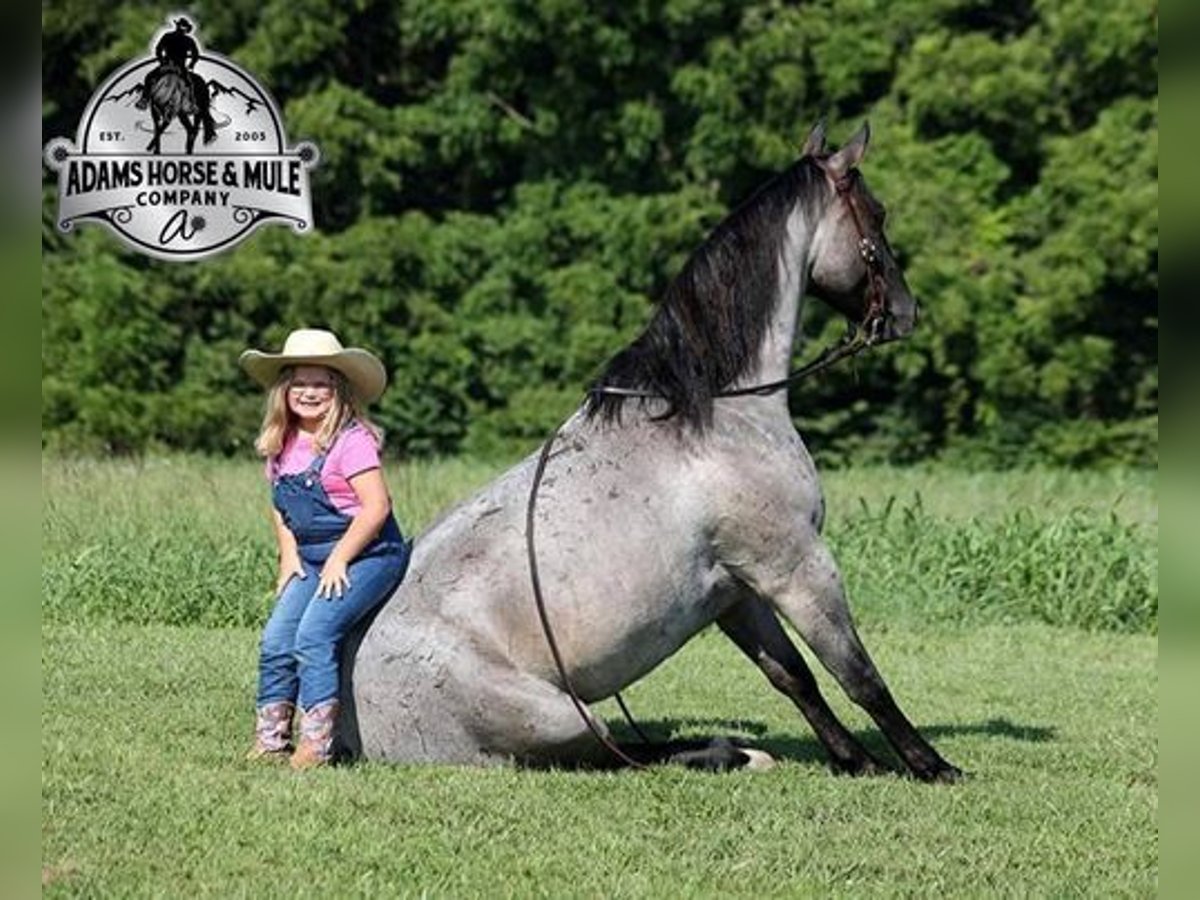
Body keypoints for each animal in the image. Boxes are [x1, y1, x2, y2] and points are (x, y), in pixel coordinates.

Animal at [343, 125, 960, 782]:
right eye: (878, 213)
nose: (905, 312)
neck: (716, 412)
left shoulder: (735, 591)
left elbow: (793, 678)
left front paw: (853, 760)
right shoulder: (798, 568)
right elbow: (859, 675)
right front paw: (930, 765)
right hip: (561, 716)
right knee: (616, 754)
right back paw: (732, 752)